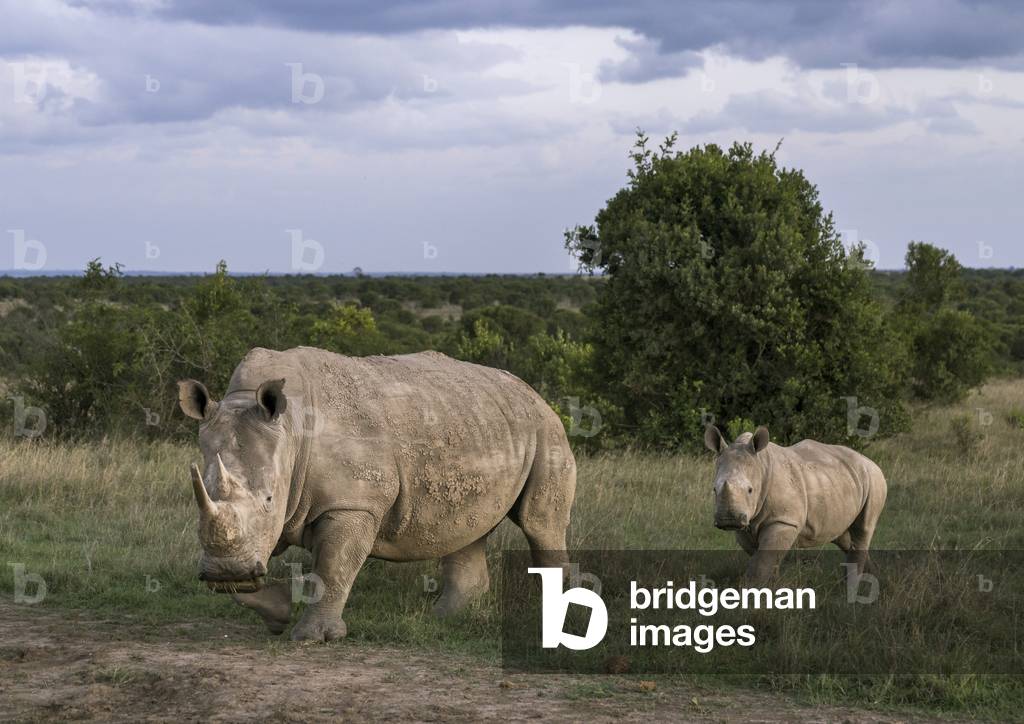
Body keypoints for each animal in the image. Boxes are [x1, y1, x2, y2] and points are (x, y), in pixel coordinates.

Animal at [178, 347, 576, 641]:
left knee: (540, 523)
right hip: (480, 423)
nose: (226, 572)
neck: (289, 430)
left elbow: (334, 566)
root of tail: (533, 392)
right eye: (202, 492)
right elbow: (248, 565)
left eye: (269, 500)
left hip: (546, 430)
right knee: (468, 529)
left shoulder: (353, 504)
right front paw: (276, 611)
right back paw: (442, 619)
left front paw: (313, 637)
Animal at [704, 426, 886, 582]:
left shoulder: (783, 520)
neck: (760, 466)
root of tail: (870, 462)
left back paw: (854, 587)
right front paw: (772, 589)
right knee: (844, 536)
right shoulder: (745, 524)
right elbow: (764, 560)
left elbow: (762, 563)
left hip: (874, 479)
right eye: (714, 489)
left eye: (750, 490)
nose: (728, 520)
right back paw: (873, 576)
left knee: (863, 529)